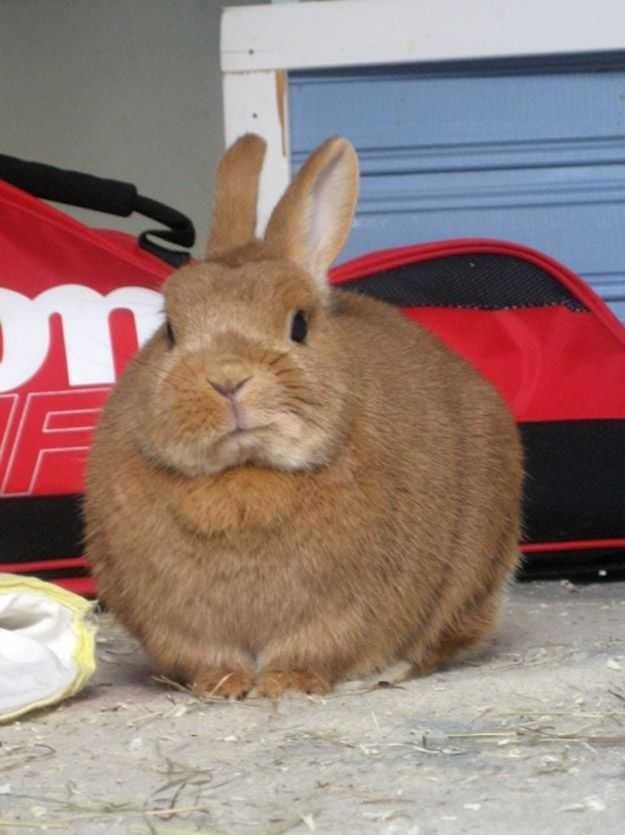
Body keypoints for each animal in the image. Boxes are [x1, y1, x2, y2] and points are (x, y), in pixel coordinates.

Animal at [85, 133, 523, 700]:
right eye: (171, 331)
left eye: (299, 325)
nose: (228, 378)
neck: (246, 472)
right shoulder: (182, 627)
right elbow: (211, 657)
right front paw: (223, 685)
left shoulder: (343, 611)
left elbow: (311, 648)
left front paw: (286, 685)